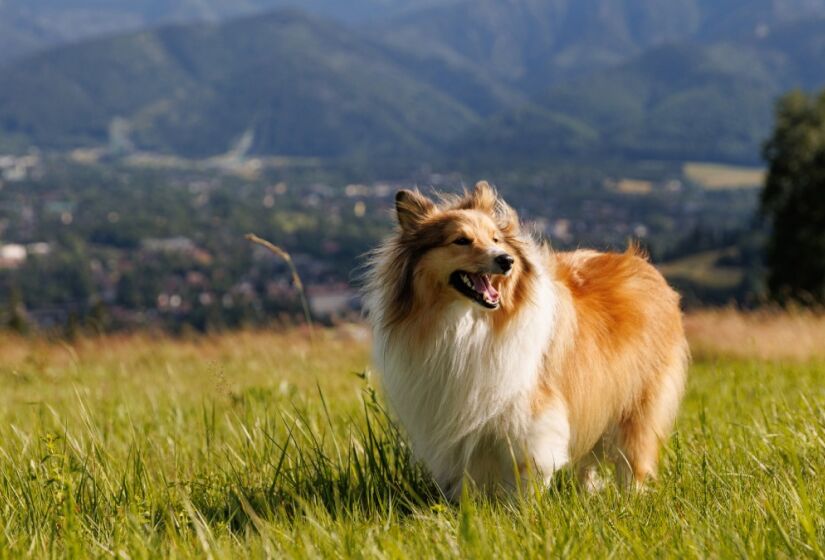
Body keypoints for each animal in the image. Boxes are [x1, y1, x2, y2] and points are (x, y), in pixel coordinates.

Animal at [364, 182, 684, 496]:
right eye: (461, 240)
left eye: (496, 239)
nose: (506, 260)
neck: (467, 322)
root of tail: (643, 264)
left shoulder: (531, 417)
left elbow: (528, 470)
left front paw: (525, 508)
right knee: (589, 461)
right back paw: (586, 492)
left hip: (636, 402)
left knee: (633, 460)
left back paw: (630, 498)